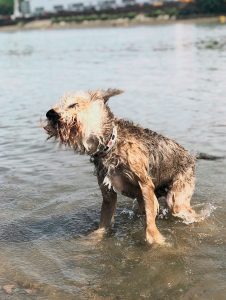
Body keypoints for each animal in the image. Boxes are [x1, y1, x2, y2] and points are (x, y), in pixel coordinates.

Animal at [43, 88, 198, 244]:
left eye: (73, 105)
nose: (50, 114)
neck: (110, 145)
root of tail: (191, 156)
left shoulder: (145, 183)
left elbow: (150, 218)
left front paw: (154, 237)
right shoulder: (108, 193)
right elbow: (104, 222)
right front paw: (93, 237)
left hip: (177, 199)